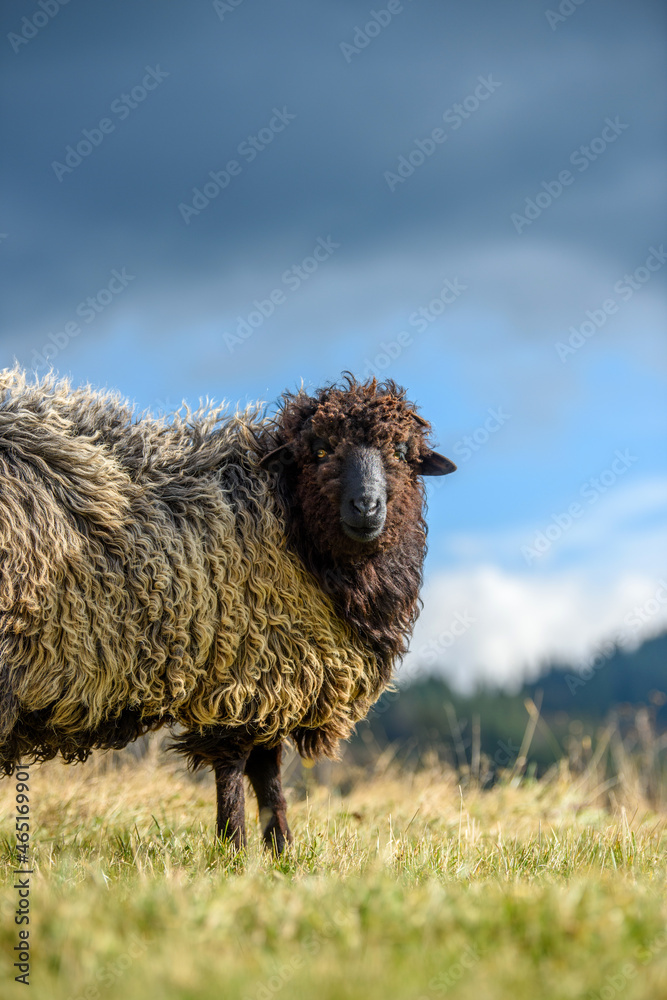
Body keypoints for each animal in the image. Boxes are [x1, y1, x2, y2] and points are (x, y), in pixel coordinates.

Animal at [0, 368, 454, 852]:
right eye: (319, 450)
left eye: (402, 452)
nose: (366, 507)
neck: (284, 519)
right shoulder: (240, 672)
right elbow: (238, 768)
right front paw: (234, 848)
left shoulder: (273, 676)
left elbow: (267, 773)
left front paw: (280, 850)